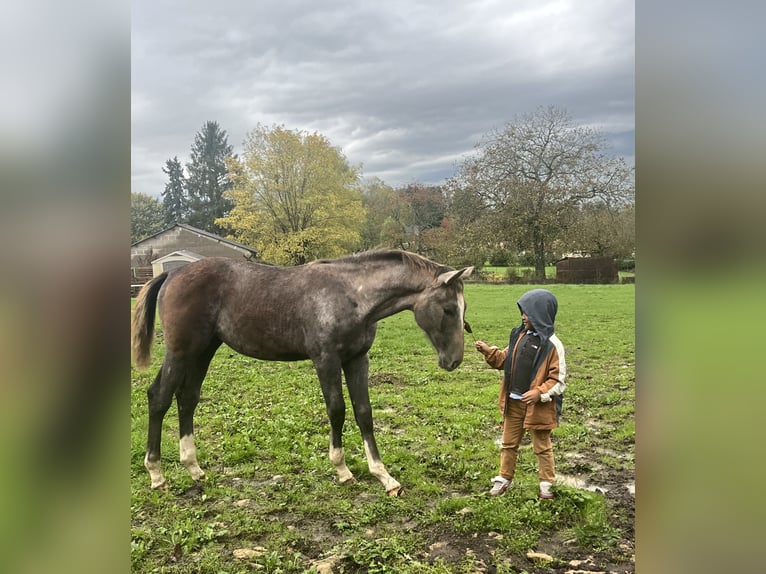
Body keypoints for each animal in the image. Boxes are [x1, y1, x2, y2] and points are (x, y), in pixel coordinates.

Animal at [132, 250, 474, 498]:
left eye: (464, 308)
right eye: (447, 309)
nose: (454, 360)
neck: (352, 296)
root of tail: (172, 272)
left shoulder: (357, 360)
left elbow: (364, 412)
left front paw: (384, 477)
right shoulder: (326, 360)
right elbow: (337, 410)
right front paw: (342, 471)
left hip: (203, 351)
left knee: (187, 398)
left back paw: (194, 468)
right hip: (181, 352)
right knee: (159, 397)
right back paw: (157, 475)